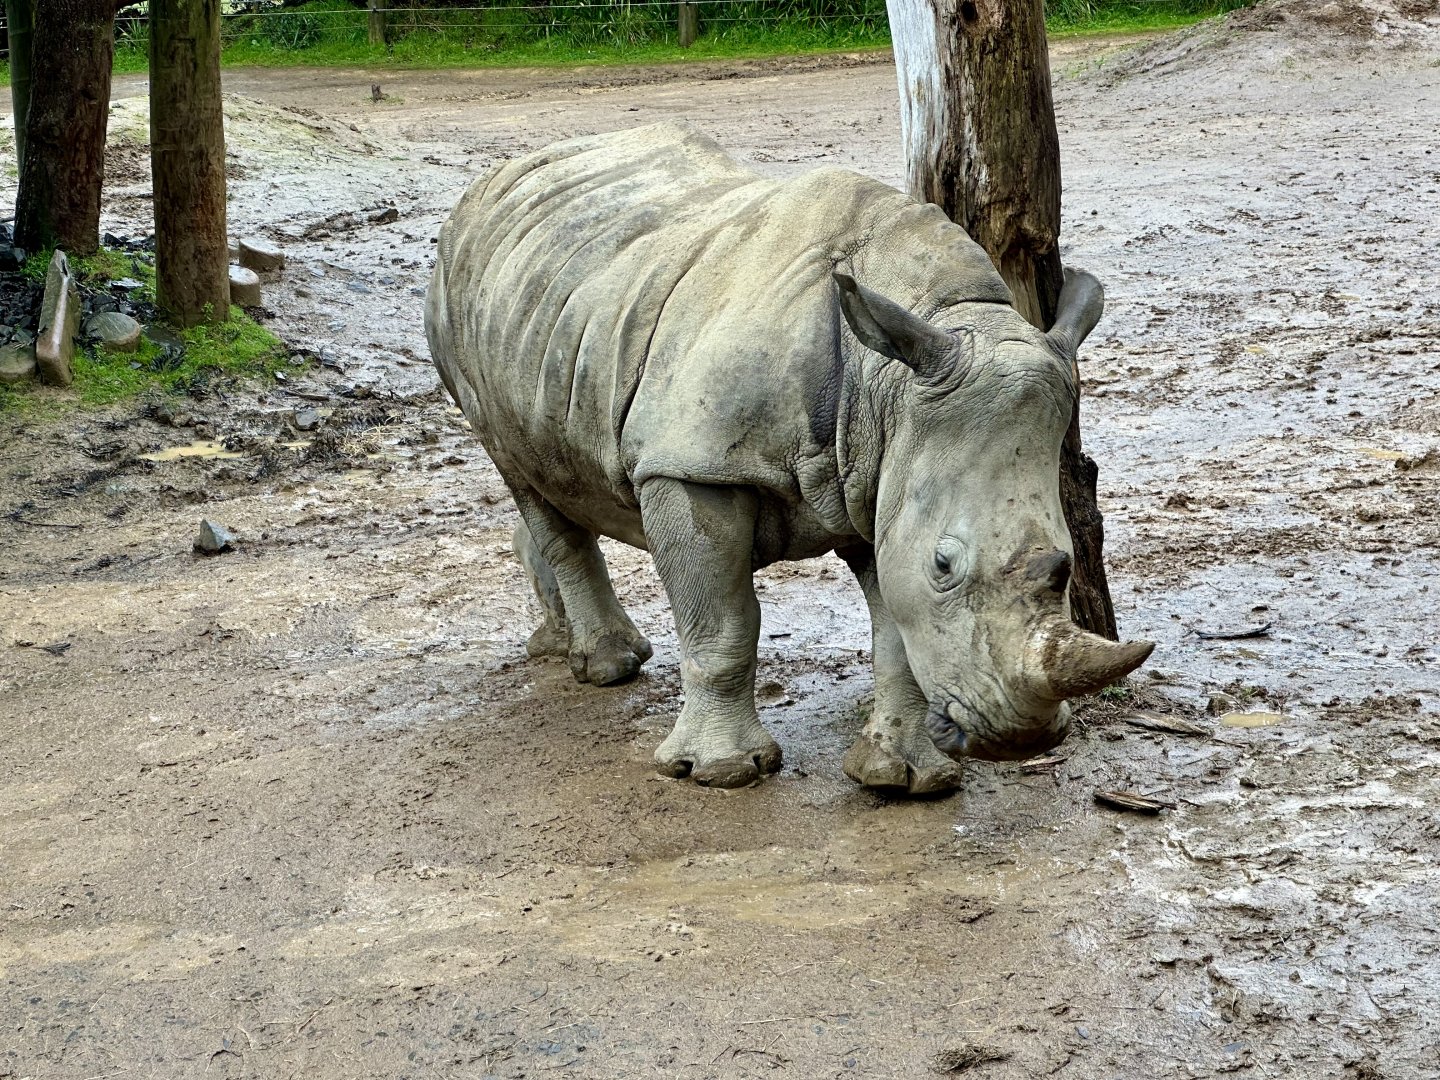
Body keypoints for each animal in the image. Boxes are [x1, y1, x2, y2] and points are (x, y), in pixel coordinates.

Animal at [425, 122, 1153, 793]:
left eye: (1068, 562)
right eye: (944, 566)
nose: (1022, 738)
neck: (887, 377)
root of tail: (490, 182)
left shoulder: (876, 470)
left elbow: (895, 634)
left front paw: (902, 779)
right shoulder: (690, 464)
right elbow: (721, 625)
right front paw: (720, 772)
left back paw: (560, 644)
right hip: (453, 310)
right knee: (520, 473)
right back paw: (608, 669)